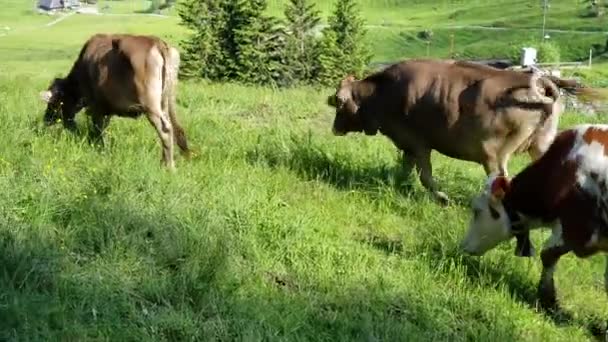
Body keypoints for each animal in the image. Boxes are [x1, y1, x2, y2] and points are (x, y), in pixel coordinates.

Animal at [39, 33, 190, 170]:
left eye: (52, 103)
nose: (46, 119)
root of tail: (157, 42)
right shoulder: (106, 109)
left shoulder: (96, 107)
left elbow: (99, 130)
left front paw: (102, 150)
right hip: (165, 101)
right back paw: (164, 161)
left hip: (150, 105)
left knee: (165, 129)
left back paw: (169, 167)